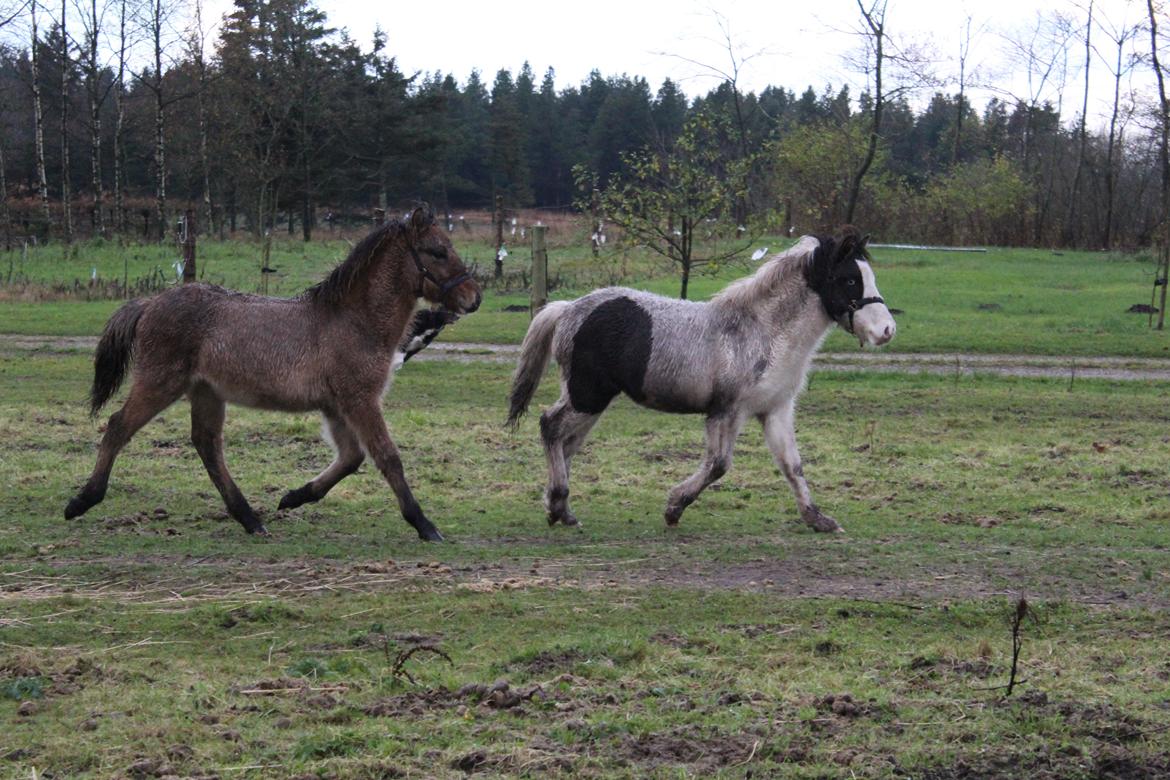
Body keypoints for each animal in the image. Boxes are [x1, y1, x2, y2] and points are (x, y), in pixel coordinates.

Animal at [61, 204, 482, 540]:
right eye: (438, 251)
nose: (473, 298)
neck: (353, 320)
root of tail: (150, 302)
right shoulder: (359, 399)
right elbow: (387, 456)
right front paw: (424, 525)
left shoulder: (336, 406)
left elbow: (351, 458)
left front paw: (294, 497)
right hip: (161, 382)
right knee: (119, 426)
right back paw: (82, 501)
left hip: (206, 392)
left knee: (207, 444)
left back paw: (250, 519)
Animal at [503, 222, 893, 533]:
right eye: (849, 279)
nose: (886, 330)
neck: (761, 334)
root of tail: (566, 309)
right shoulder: (726, 410)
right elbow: (718, 465)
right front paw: (674, 507)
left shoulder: (775, 410)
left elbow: (792, 465)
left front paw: (818, 520)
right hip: (587, 395)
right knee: (551, 428)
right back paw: (558, 504)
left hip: (589, 400)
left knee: (567, 443)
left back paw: (561, 511)